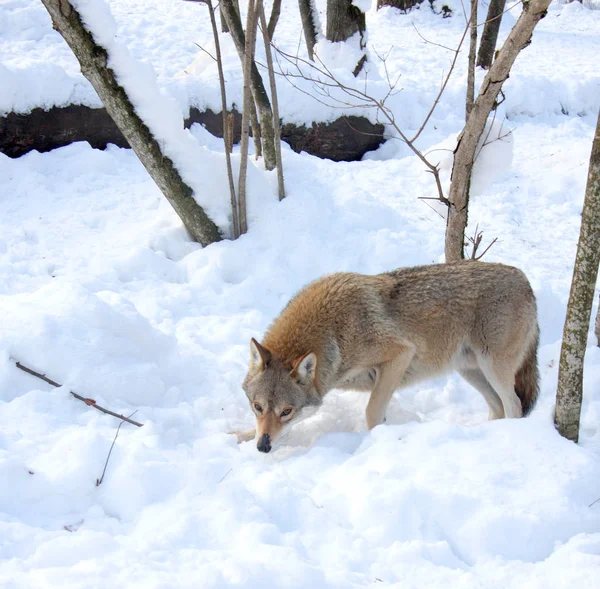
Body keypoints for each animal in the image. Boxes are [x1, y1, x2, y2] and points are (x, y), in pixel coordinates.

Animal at [237, 260, 540, 450]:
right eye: (258, 407)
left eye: (286, 411)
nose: (263, 448)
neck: (335, 332)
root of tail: (524, 278)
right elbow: (251, 429)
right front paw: (240, 437)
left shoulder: (400, 354)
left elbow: (372, 412)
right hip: (470, 372)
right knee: (497, 407)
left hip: (493, 369)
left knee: (514, 405)